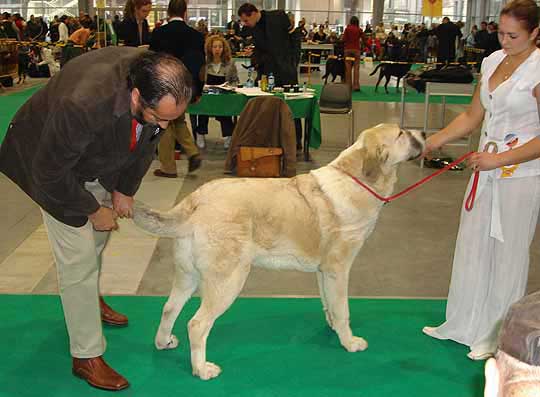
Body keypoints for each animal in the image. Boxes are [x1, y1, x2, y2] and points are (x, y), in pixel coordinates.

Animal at [133, 122, 424, 378]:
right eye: (401, 133)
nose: (422, 132)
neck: (357, 179)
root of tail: (196, 199)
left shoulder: (324, 272)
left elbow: (329, 304)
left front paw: (333, 328)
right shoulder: (338, 269)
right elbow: (343, 309)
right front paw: (349, 342)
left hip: (187, 275)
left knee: (169, 308)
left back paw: (164, 342)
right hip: (228, 280)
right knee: (197, 324)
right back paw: (202, 369)